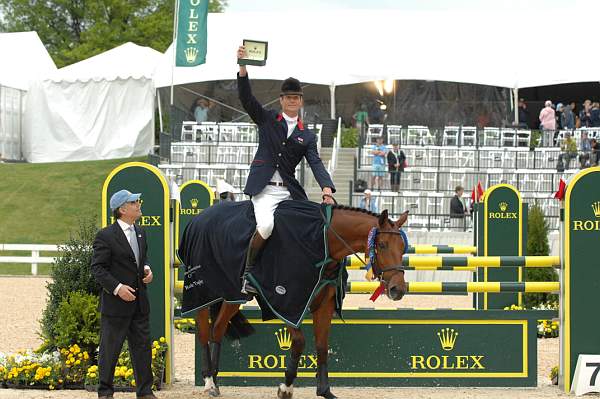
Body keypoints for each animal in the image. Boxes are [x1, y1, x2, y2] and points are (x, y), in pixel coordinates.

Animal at [195, 208, 410, 398]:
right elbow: (299, 342)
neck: (321, 244)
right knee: (205, 331)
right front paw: (286, 388)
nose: (398, 290)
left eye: (402, 248)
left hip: (232, 297)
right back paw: (208, 381)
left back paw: (214, 382)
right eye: (382, 244)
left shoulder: (324, 305)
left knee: (218, 329)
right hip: (205, 294)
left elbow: (322, 346)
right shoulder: (287, 304)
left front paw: (324, 391)